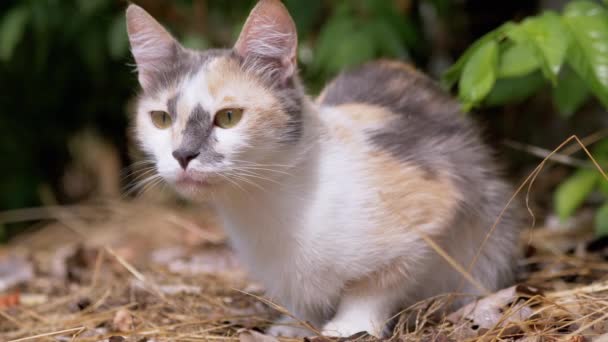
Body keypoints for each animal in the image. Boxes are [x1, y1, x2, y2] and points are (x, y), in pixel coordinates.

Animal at [124, 0, 524, 336]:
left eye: (229, 117)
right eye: (161, 119)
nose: (182, 154)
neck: (266, 207)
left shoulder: (436, 202)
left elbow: (378, 284)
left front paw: (349, 326)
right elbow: (300, 300)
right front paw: (293, 327)